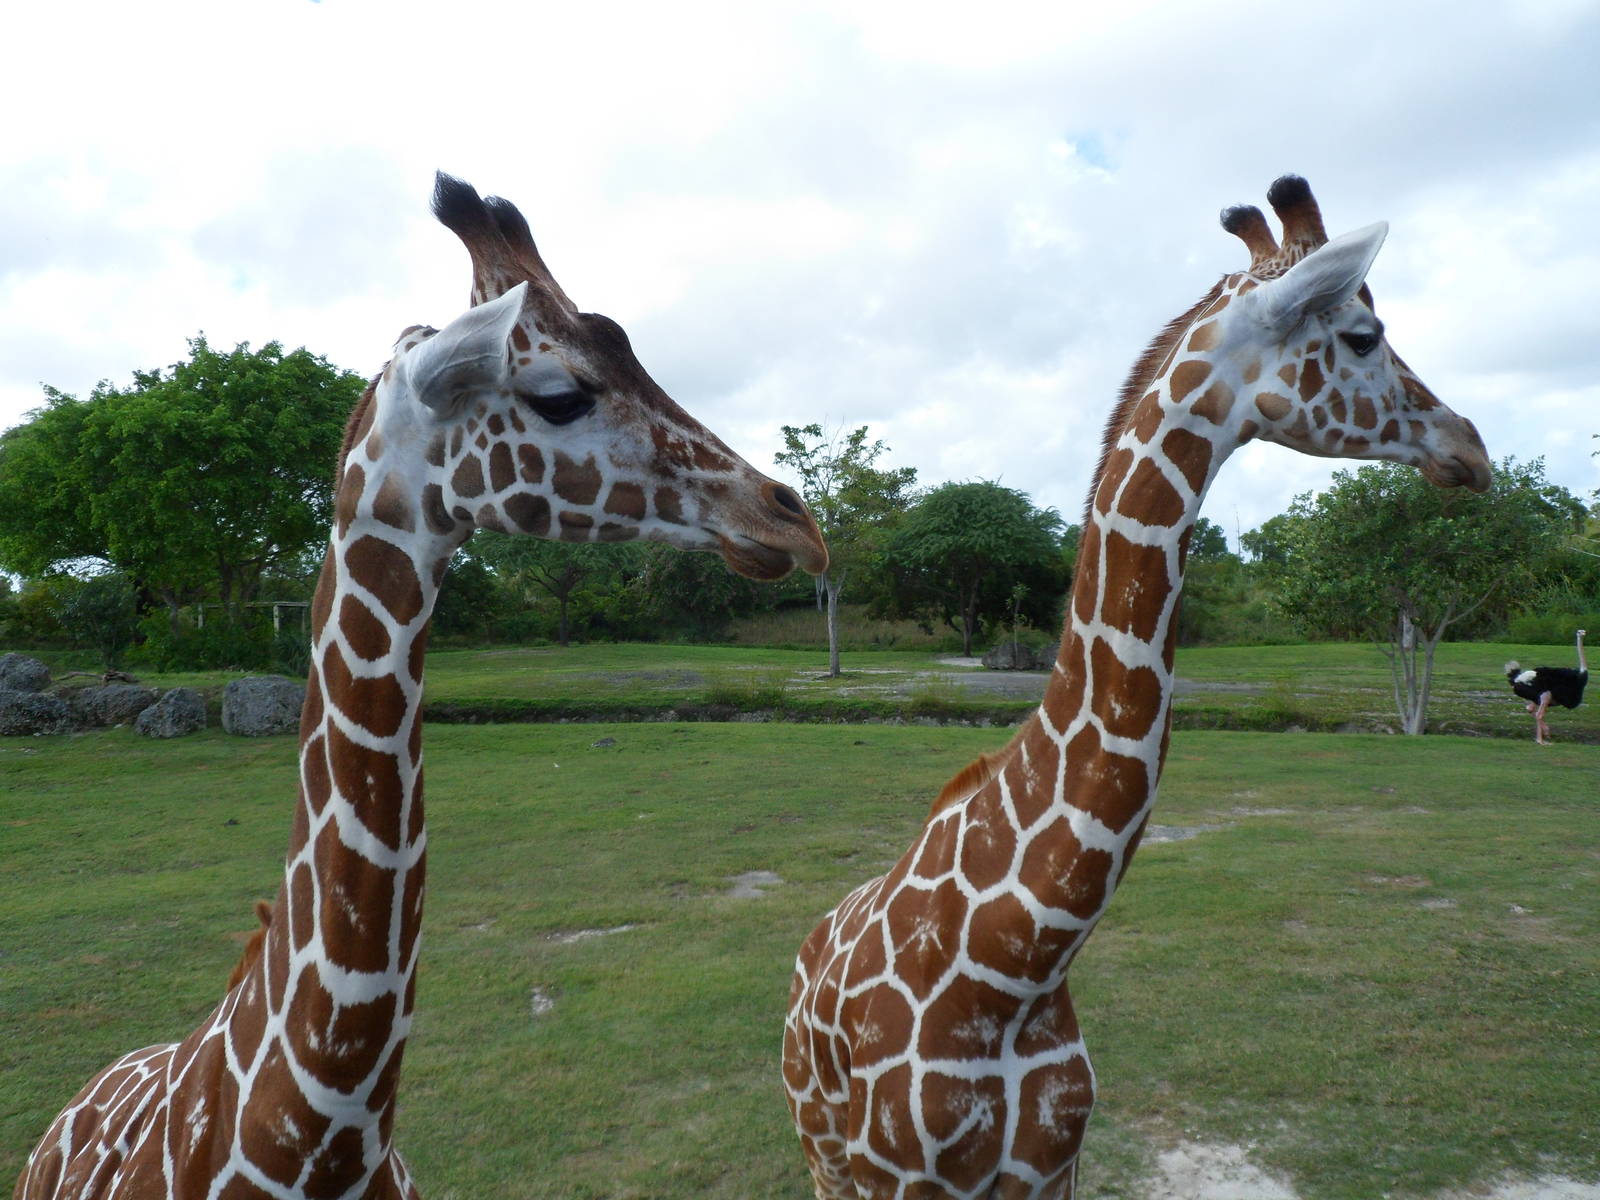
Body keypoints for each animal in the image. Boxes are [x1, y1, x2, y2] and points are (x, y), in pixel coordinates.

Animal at [782, 175, 1491, 1199]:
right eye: (1364, 334)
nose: (1470, 448)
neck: (1017, 961)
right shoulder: (902, 1175)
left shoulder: (1054, 1164)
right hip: (824, 1152)